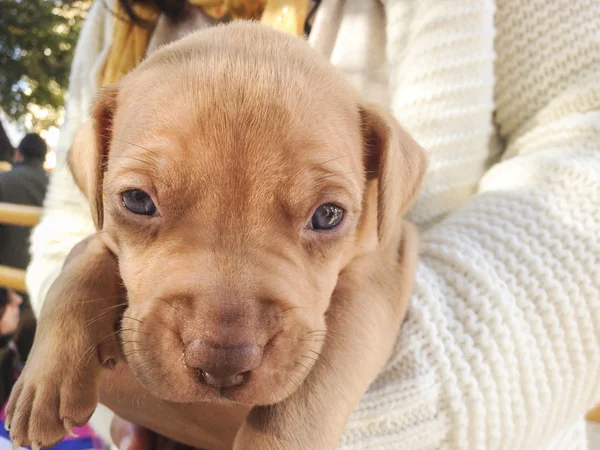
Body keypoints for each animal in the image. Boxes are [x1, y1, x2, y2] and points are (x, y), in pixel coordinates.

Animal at [5, 24, 426, 450]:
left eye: (327, 215)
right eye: (137, 200)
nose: (221, 362)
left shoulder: (382, 270)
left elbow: (325, 369)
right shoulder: (104, 237)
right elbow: (77, 273)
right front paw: (47, 376)